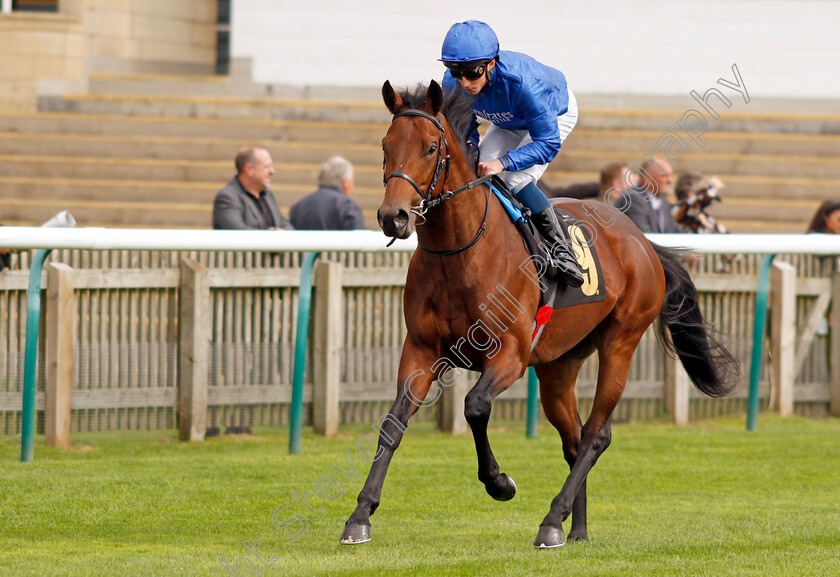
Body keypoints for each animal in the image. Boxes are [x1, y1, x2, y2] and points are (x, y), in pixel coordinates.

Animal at [340, 80, 736, 544]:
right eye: (385, 146)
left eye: (430, 147)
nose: (394, 216)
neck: (460, 252)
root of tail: (642, 241)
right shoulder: (420, 350)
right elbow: (392, 423)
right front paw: (360, 515)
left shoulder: (510, 354)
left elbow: (475, 406)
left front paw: (500, 483)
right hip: (558, 366)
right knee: (574, 438)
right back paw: (575, 530)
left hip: (621, 340)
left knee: (596, 435)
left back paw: (552, 520)